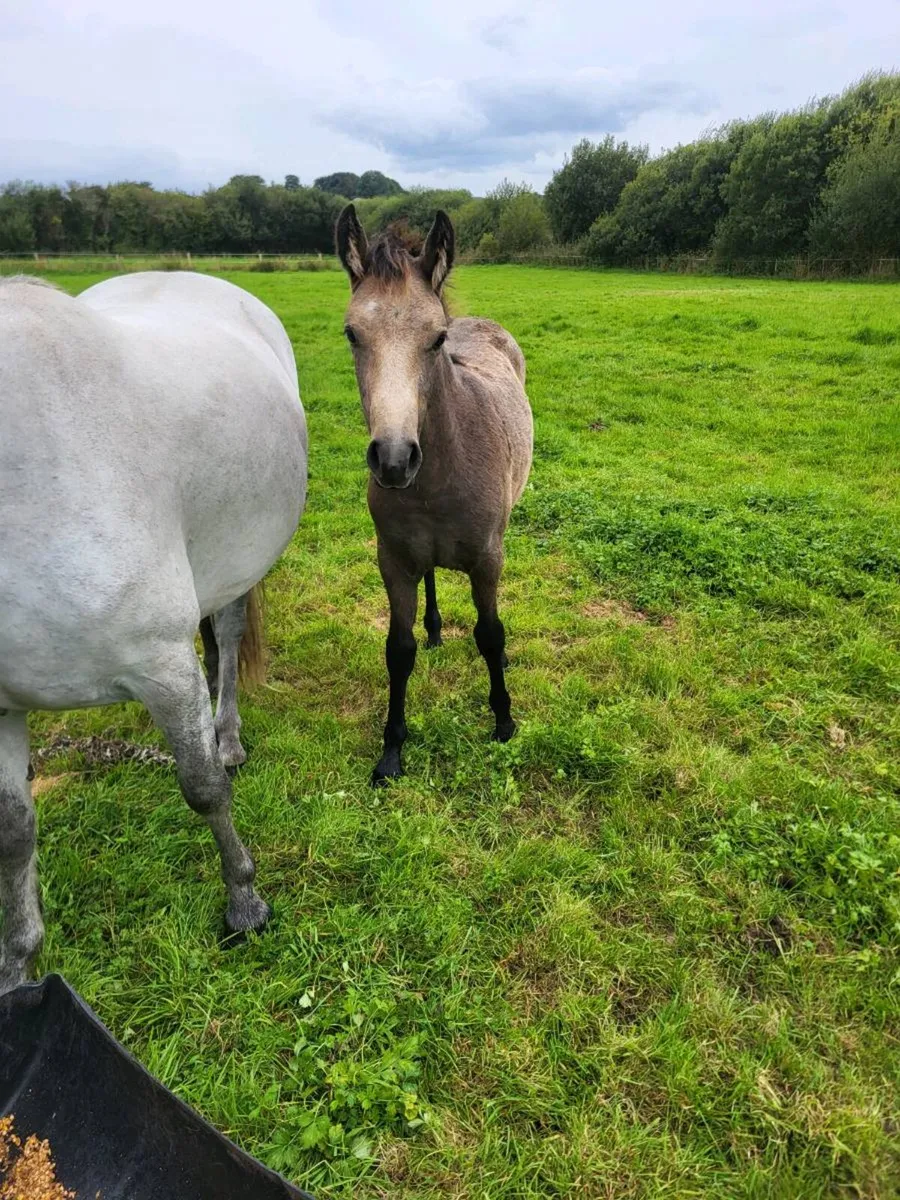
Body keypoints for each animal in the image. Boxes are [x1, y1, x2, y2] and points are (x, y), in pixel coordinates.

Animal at [0, 271, 308, 993]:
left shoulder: (161, 667)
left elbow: (203, 788)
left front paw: (244, 903)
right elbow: (14, 835)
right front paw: (19, 963)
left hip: (237, 565)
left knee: (228, 636)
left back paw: (228, 738)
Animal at [335, 207, 533, 785]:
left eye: (436, 337)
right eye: (352, 333)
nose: (394, 458)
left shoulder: (488, 558)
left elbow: (491, 634)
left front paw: (504, 723)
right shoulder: (393, 560)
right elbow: (397, 650)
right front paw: (391, 750)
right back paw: (435, 629)